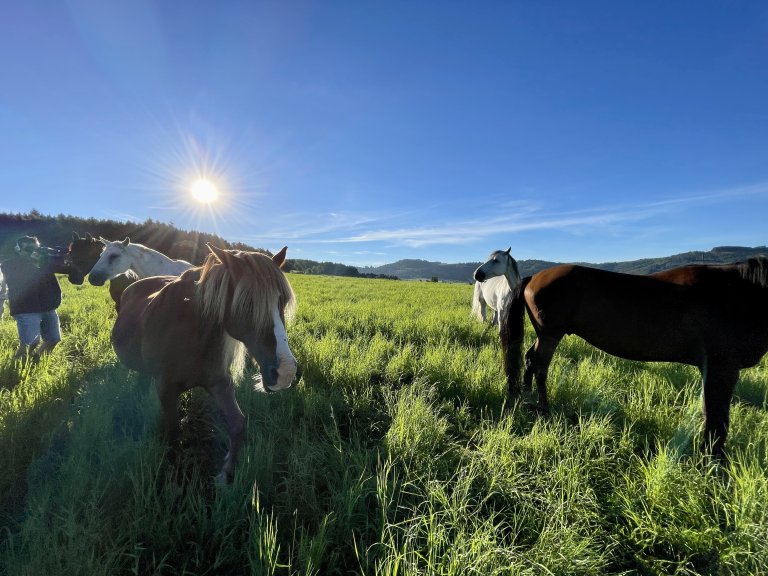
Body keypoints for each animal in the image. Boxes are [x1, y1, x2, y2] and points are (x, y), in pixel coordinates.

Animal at [111, 241, 296, 484]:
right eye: (248, 303)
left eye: (282, 301)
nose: (286, 372)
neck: (192, 331)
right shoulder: (166, 389)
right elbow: (173, 432)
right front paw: (172, 471)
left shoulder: (219, 383)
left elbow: (237, 424)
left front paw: (226, 474)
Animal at [498, 256, 768, 460]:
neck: (739, 292)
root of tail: (534, 277)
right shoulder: (722, 367)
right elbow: (717, 420)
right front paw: (713, 461)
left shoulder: (712, 369)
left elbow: (710, 414)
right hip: (551, 334)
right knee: (539, 366)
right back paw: (544, 409)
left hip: (545, 335)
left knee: (530, 360)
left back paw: (527, 396)